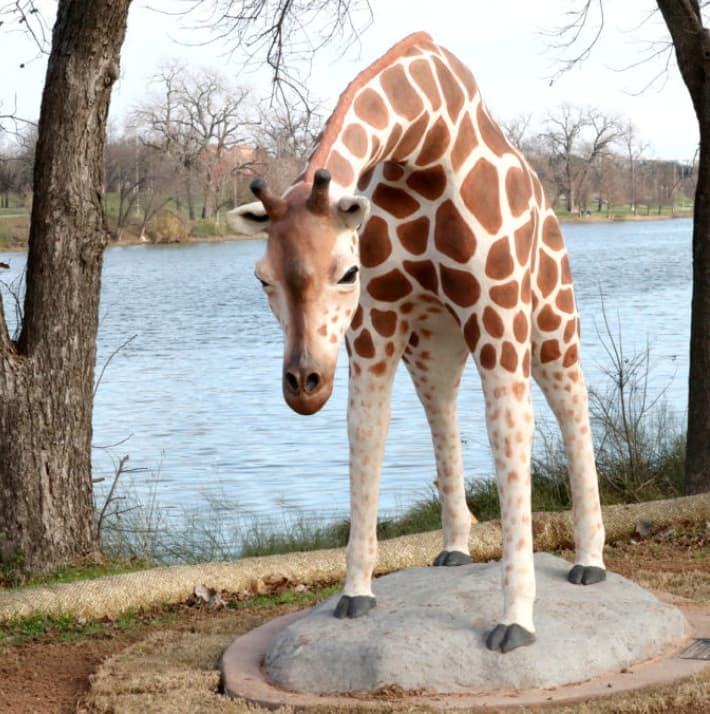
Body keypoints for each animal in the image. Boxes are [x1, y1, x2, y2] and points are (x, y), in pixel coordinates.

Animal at [228, 32, 606, 653]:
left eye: (347, 272)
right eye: (262, 277)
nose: (304, 386)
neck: (422, 150)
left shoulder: (499, 323)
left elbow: (510, 439)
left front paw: (516, 621)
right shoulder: (374, 331)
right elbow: (366, 435)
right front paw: (355, 591)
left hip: (550, 318)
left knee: (573, 404)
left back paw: (590, 560)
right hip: (436, 345)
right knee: (442, 409)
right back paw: (454, 546)